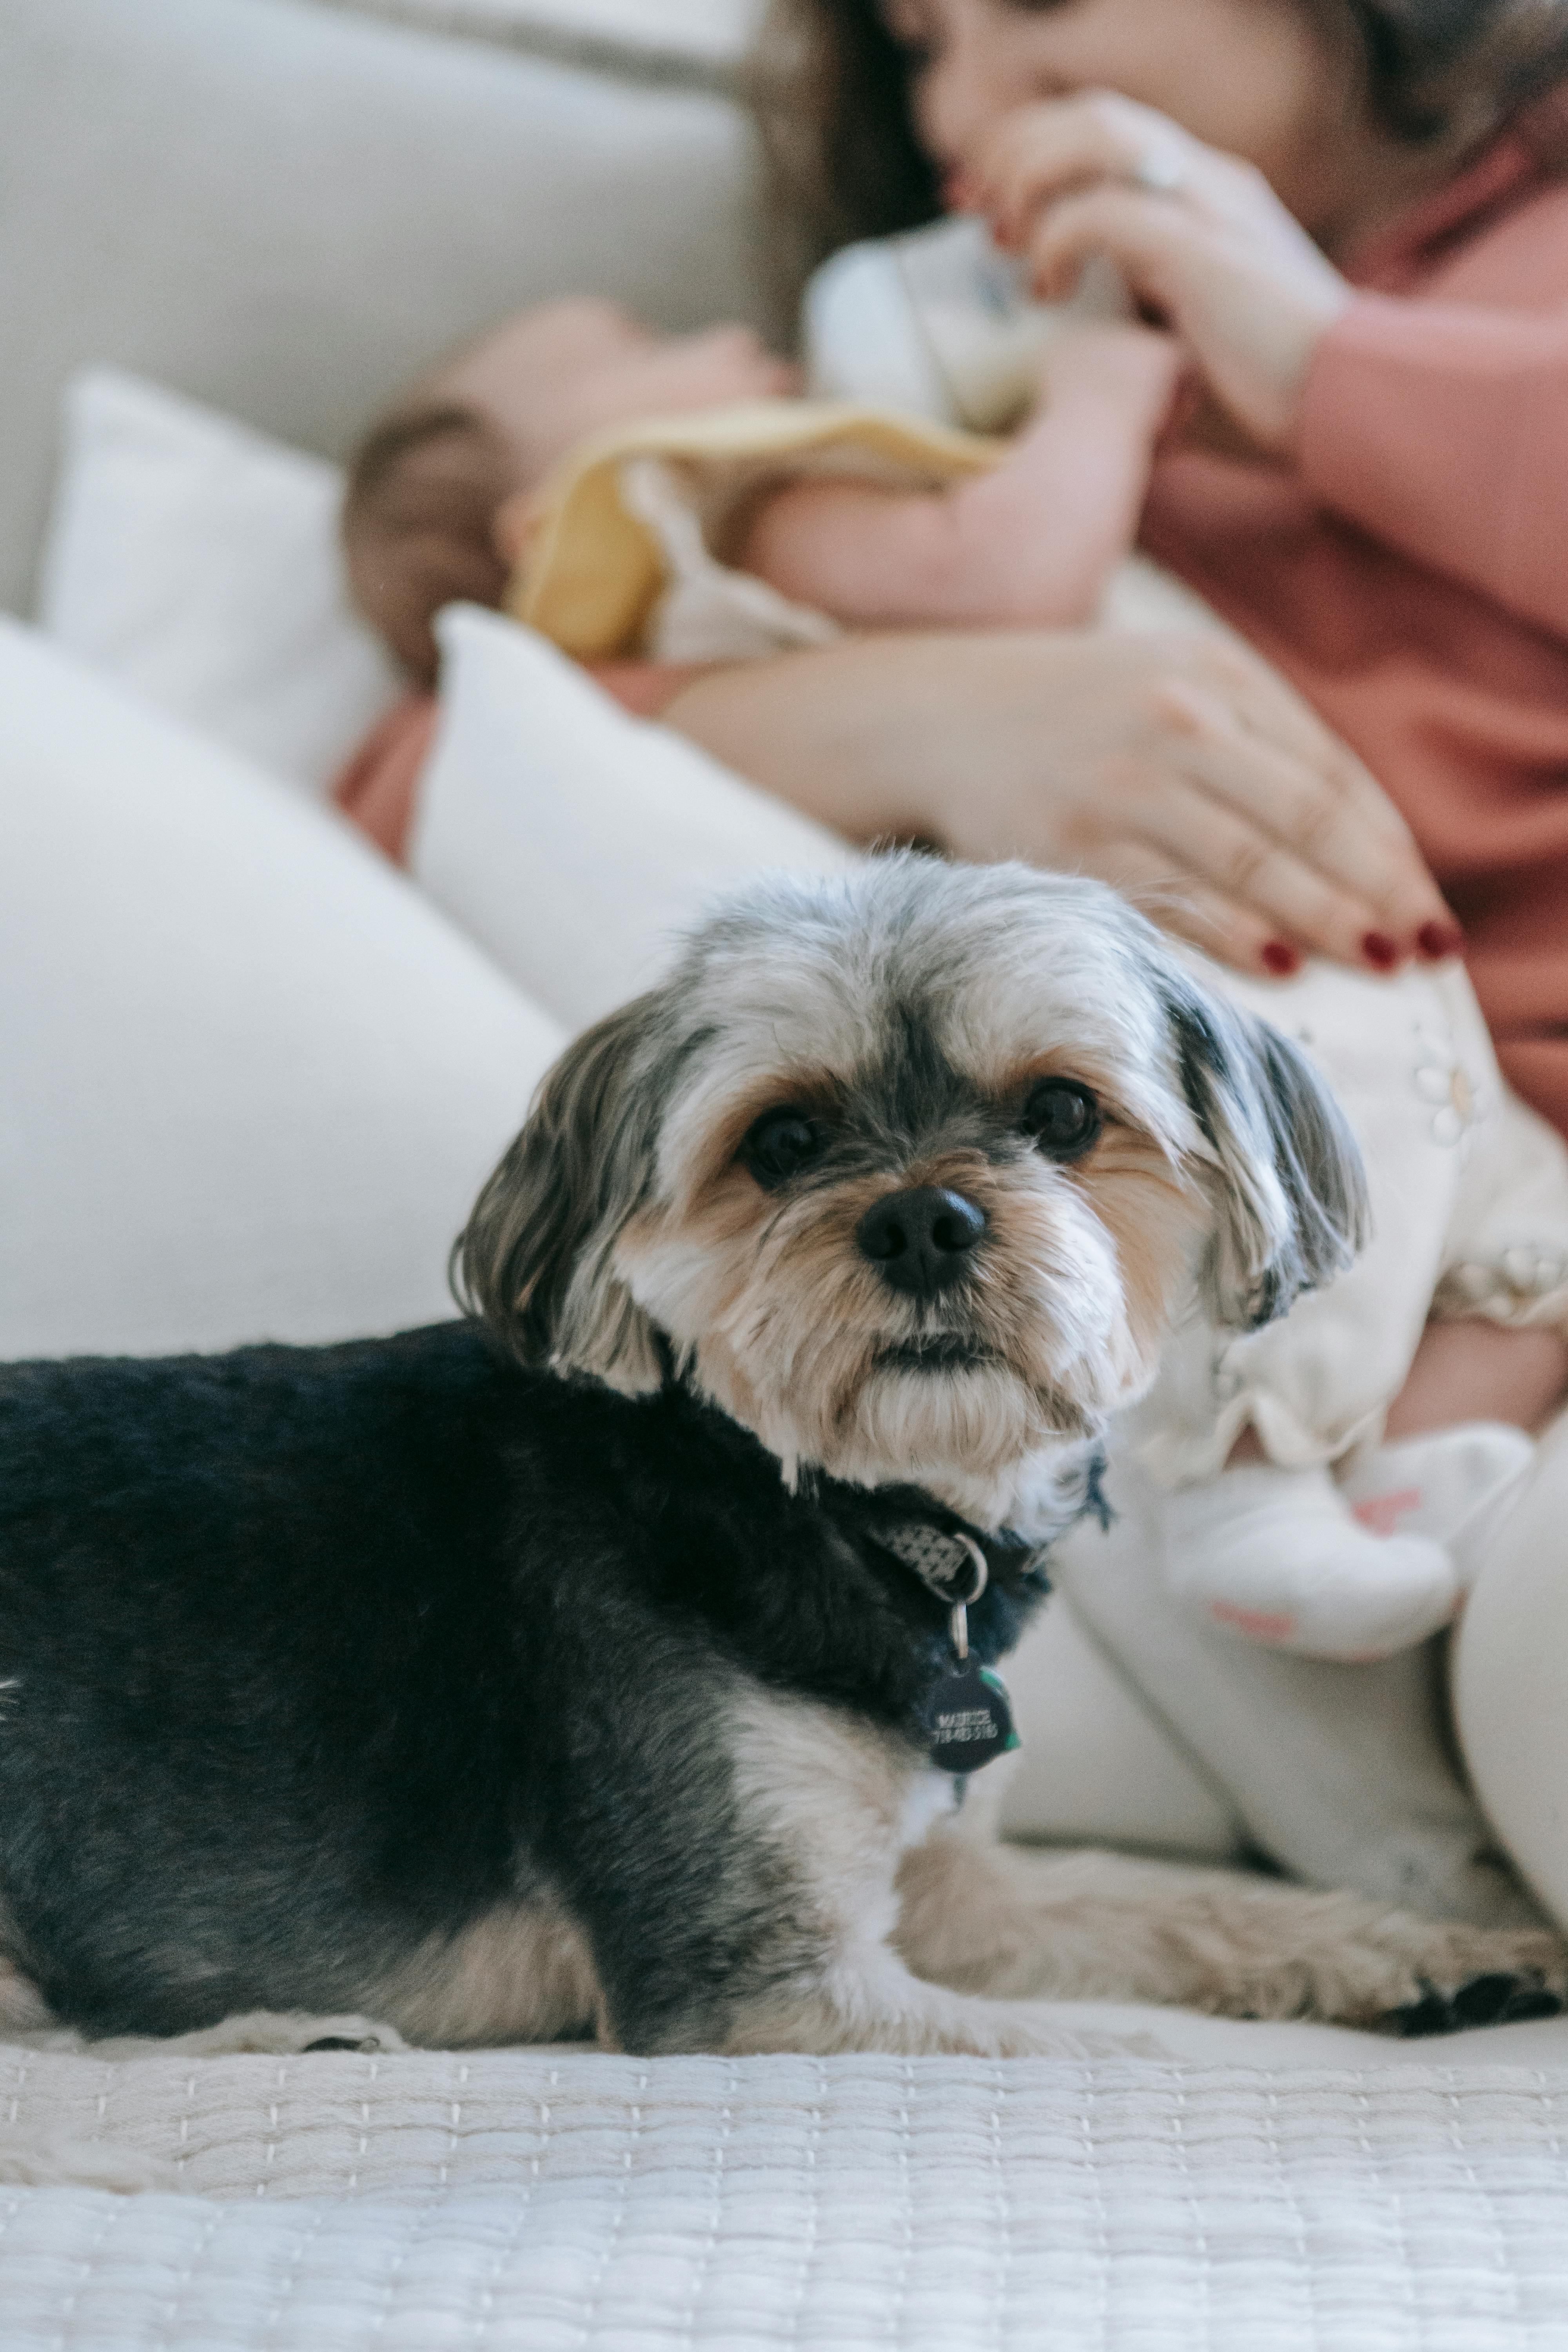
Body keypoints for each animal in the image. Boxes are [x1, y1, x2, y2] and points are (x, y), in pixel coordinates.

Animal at [0, 866, 1561, 2060]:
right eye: (785, 1137)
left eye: (1062, 1113)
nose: (923, 1220)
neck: (831, 1504)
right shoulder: (760, 1972)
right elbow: (1097, 2050)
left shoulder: (942, 1879)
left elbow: (1156, 1899)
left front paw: (1447, 1948)